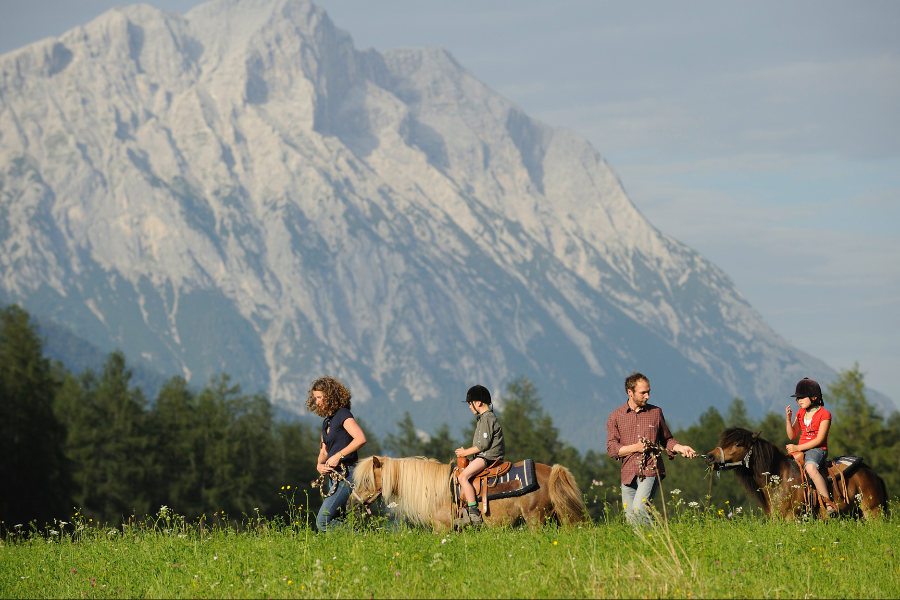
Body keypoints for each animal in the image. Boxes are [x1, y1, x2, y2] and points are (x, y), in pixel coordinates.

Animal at [352, 454, 592, 528]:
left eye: (366, 480)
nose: (352, 503)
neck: (437, 490)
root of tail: (552, 470)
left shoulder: (442, 528)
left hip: (535, 519)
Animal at [704, 426, 884, 520]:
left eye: (737, 444)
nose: (710, 457)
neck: (780, 478)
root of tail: (873, 473)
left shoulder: (791, 518)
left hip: (873, 512)